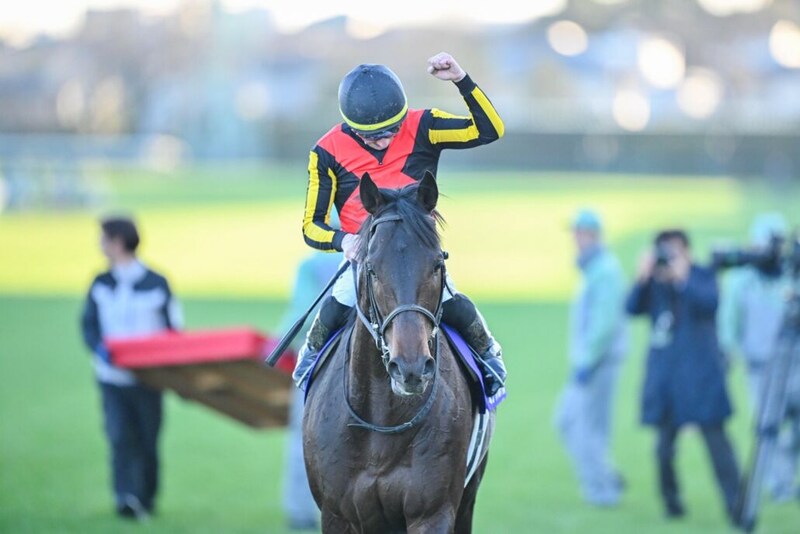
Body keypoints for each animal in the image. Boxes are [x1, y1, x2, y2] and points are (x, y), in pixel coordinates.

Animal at [302, 171, 494, 533]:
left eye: (437, 264)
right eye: (372, 268)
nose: (411, 368)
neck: (383, 422)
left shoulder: (433, 513)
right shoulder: (336, 514)